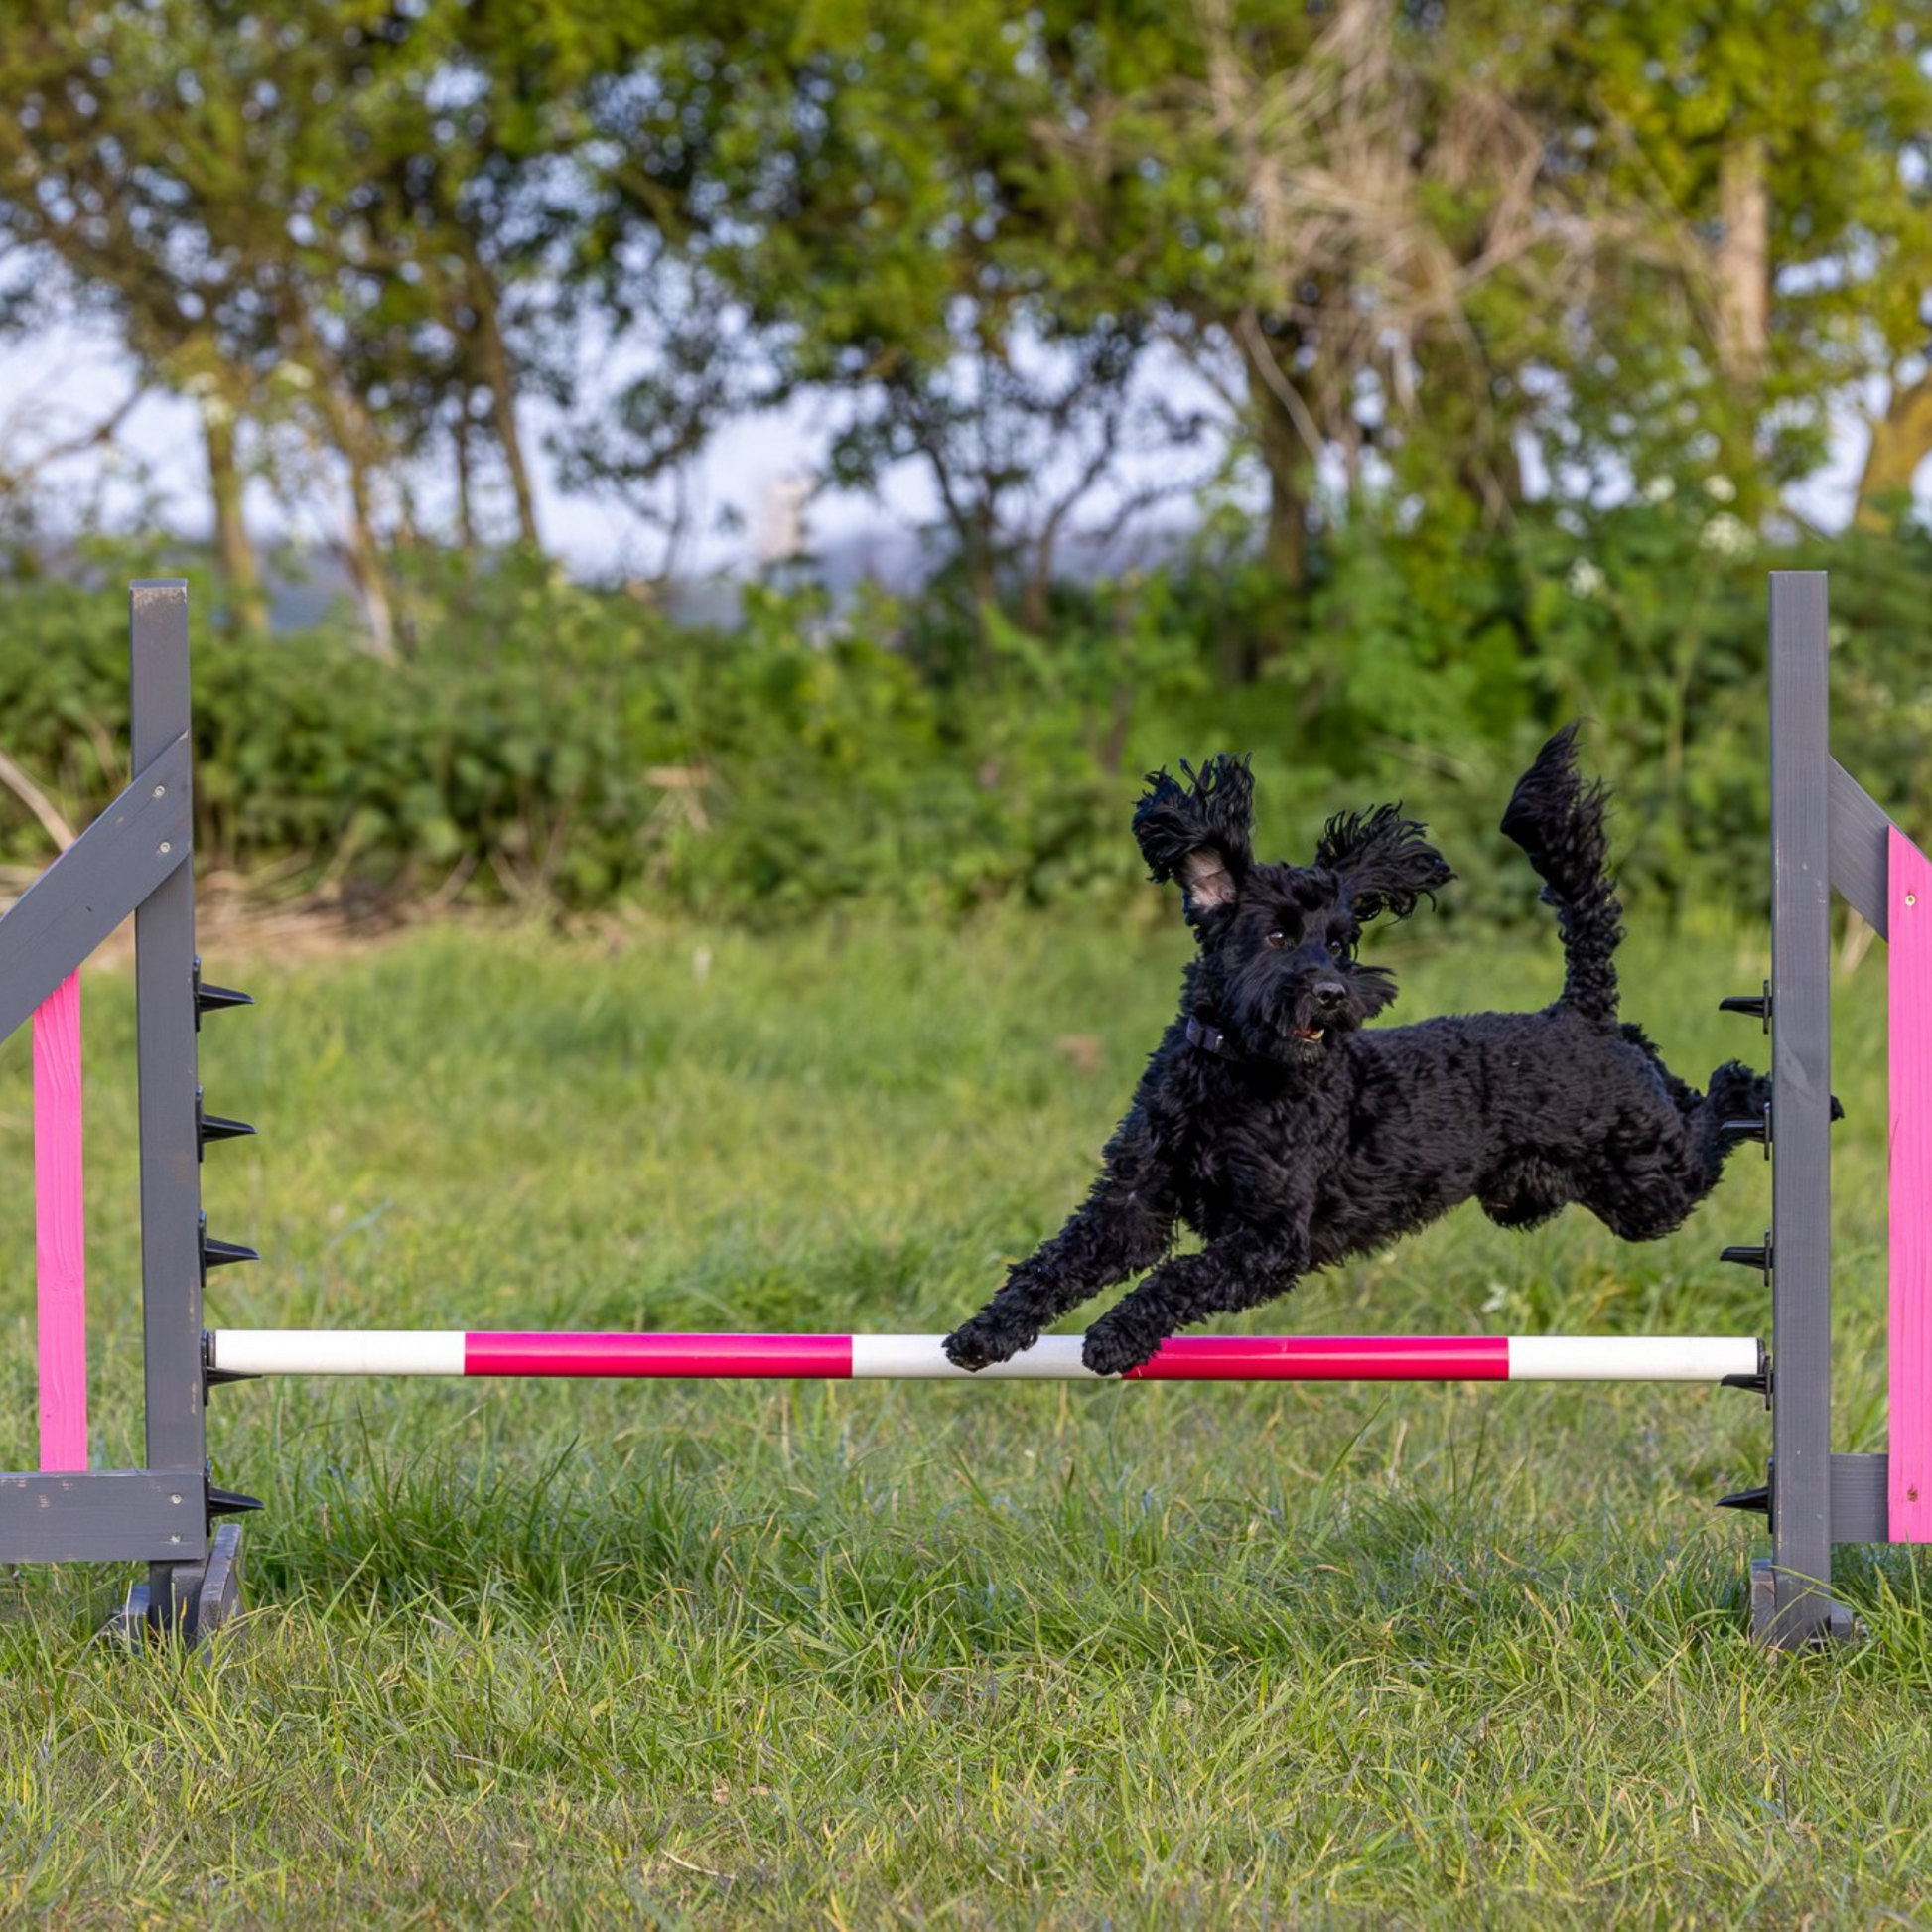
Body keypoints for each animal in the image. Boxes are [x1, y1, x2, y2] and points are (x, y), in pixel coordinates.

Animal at [942, 722, 1769, 1375]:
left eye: (1342, 942)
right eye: (1279, 935)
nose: (1335, 995)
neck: (1233, 1076)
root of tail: (1578, 1014)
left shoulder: (1271, 1237)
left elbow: (1178, 1277)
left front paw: (1114, 1337)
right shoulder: (1133, 1204)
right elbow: (1057, 1263)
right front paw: (984, 1332)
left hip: (1644, 1185)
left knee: (1704, 1130)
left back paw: (1750, 1088)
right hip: (1566, 1180)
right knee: (1669, 1077)